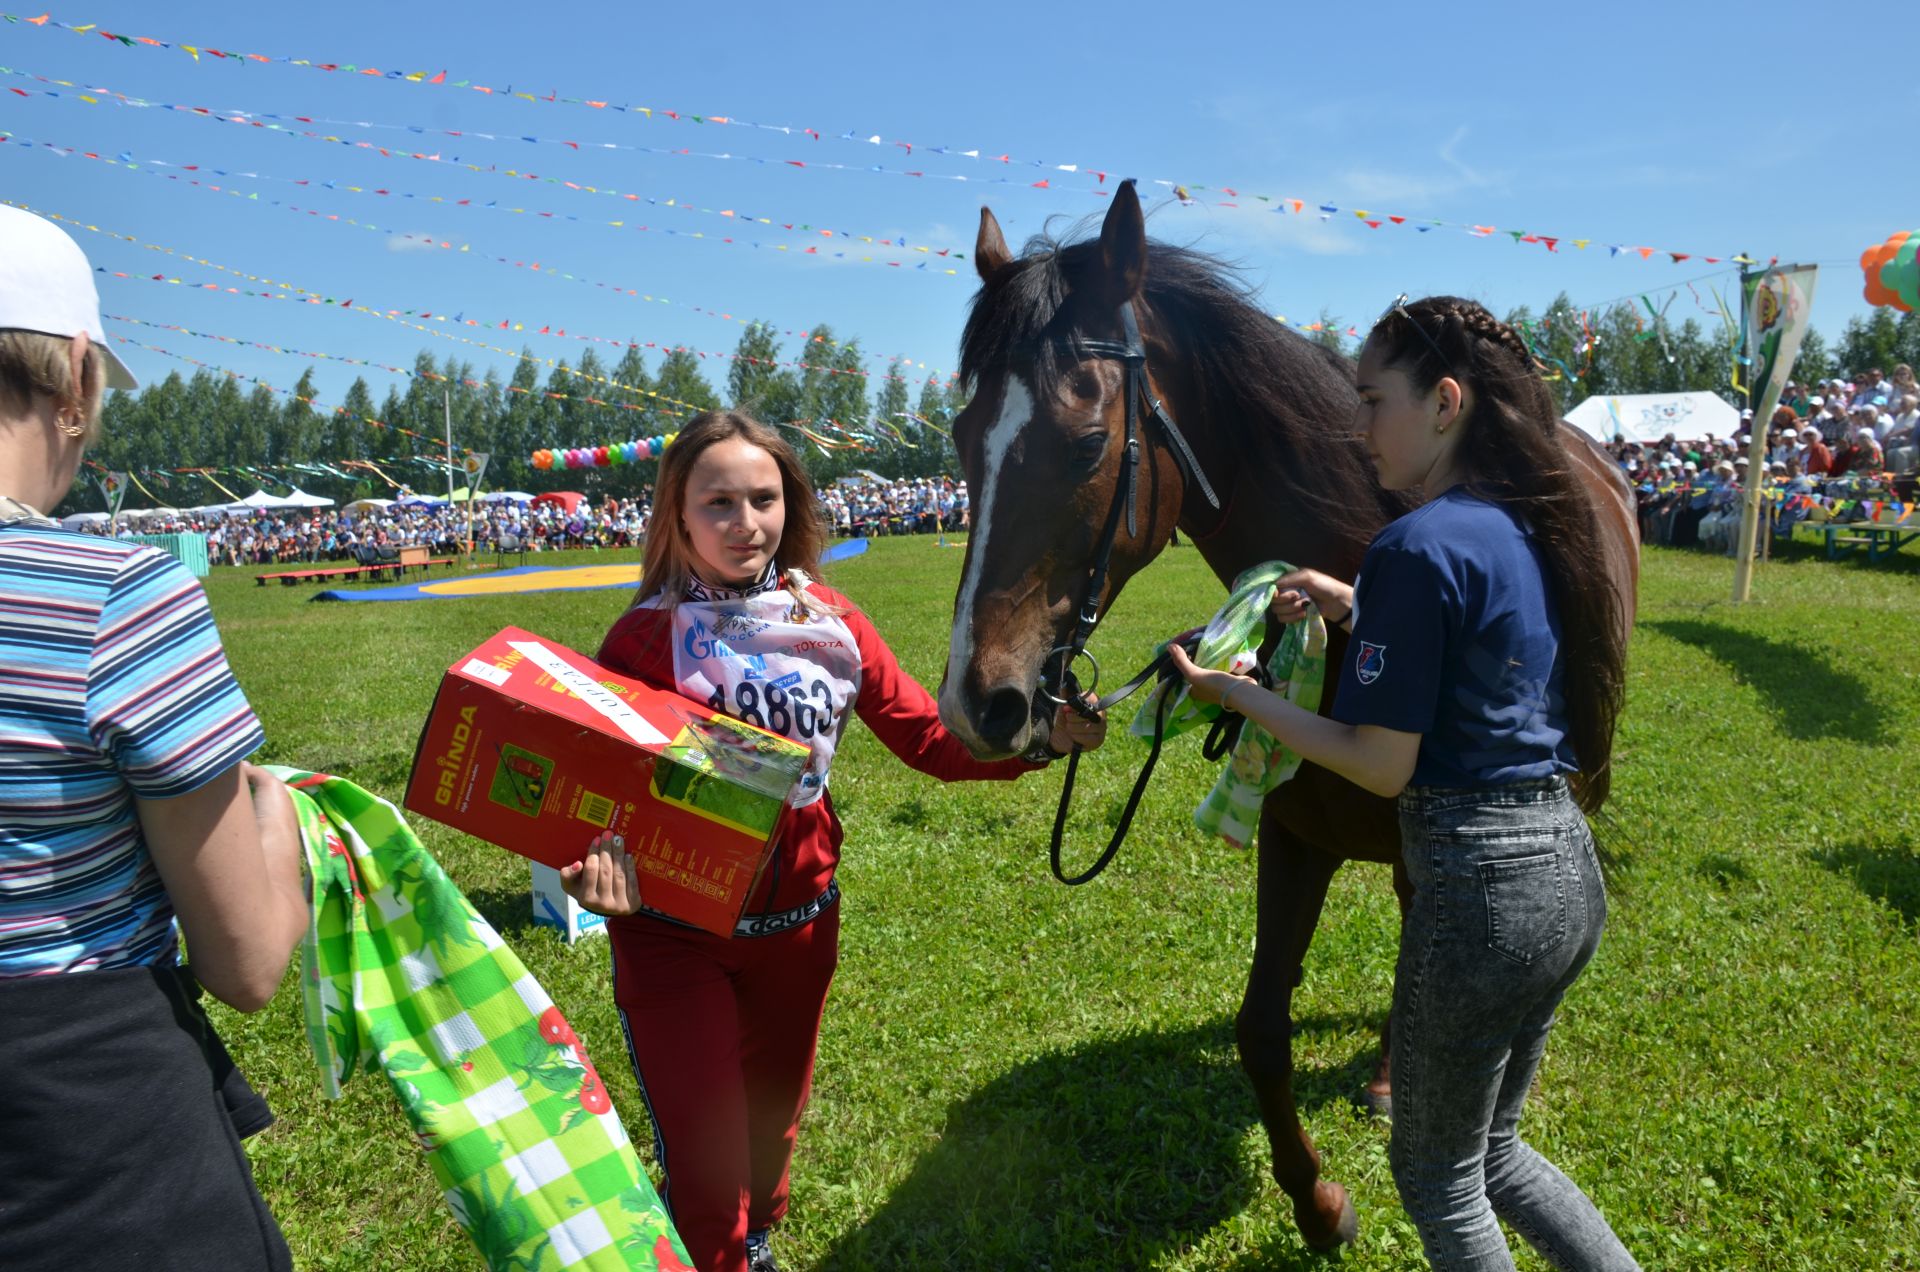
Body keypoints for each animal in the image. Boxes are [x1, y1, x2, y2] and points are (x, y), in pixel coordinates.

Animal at [929, 181, 1635, 1252]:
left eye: (1087, 444)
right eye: (965, 439)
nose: (980, 702)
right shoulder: (1295, 839)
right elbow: (1261, 1030)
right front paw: (1319, 1203)